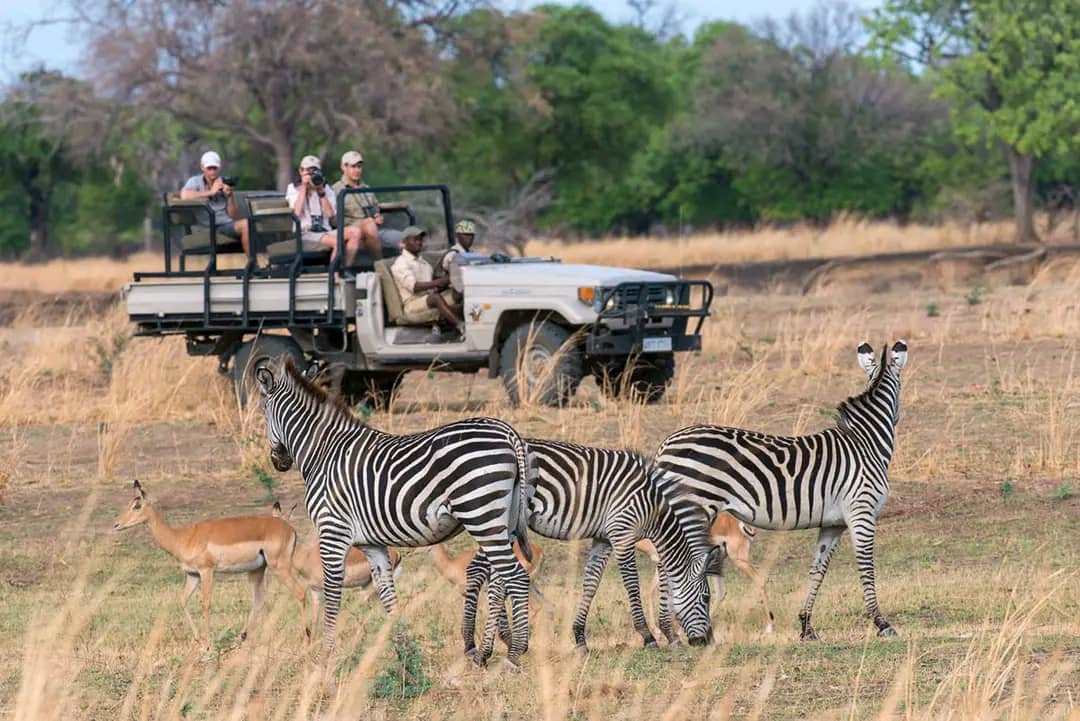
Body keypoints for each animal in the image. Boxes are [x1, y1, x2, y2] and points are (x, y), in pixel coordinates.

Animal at [114, 481, 308, 643]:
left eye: (137, 505)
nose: (116, 524)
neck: (182, 538)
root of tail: (289, 528)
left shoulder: (206, 571)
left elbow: (206, 603)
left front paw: (207, 643)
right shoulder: (193, 574)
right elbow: (182, 600)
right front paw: (199, 639)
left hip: (279, 567)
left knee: (300, 592)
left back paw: (306, 639)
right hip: (258, 569)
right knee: (259, 599)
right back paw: (245, 636)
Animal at [253, 354, 540, 664]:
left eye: (263, 412)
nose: (279, 462)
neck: (324, 452)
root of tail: (507, 431)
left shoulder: (332, 532)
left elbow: (332, 595)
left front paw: (325, 656)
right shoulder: (372, 545)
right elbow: (388, 597)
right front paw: (405, 653)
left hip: (481, 514)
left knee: (516, 578)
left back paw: (514, 654)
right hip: (503, 520)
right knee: (502, 579)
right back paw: (494, 650)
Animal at [457, 436, 717, 656]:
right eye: (706, 598)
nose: (705, 642)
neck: (652, 506)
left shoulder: (604, 539)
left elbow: (592, 584)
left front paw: (580, 639)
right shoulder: (622, 533)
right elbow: (632, 584)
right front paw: (647, 636)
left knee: (487, 571)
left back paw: (494, 640)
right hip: (494, 521)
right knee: (481, 570)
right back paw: (476, 643)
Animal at [652, 341, 907, 638]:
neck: (865, 443)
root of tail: (666, 443)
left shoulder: (833, 524)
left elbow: (818, 570)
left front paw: (806, 626)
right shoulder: (861, 511)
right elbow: (866, 566)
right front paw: (881, 623)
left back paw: (668, 630)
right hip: (692, 508)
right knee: (668, 563)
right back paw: (669, 630)